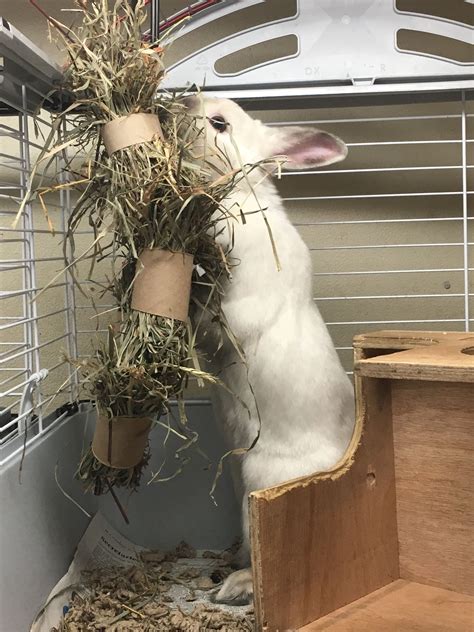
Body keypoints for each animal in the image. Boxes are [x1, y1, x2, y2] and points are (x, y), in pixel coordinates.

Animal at [185, 96, 356, 604]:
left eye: (219, 123)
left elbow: (212, 318)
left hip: (257, 485)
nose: (178, 103)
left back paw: (234, 587)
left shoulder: (237, 309)